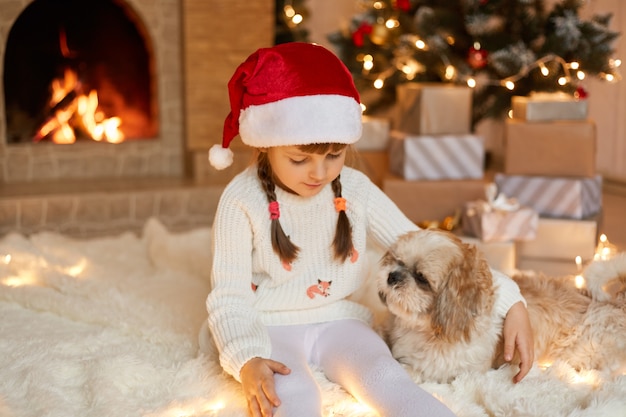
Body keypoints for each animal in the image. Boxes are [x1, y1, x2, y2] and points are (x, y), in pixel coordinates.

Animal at [376, 229, 624, 382]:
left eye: (421, 278)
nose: (392, 276)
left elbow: (412, 371)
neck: (423, 331)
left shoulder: (456, 372)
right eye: (396, 260)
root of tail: (615, 303)